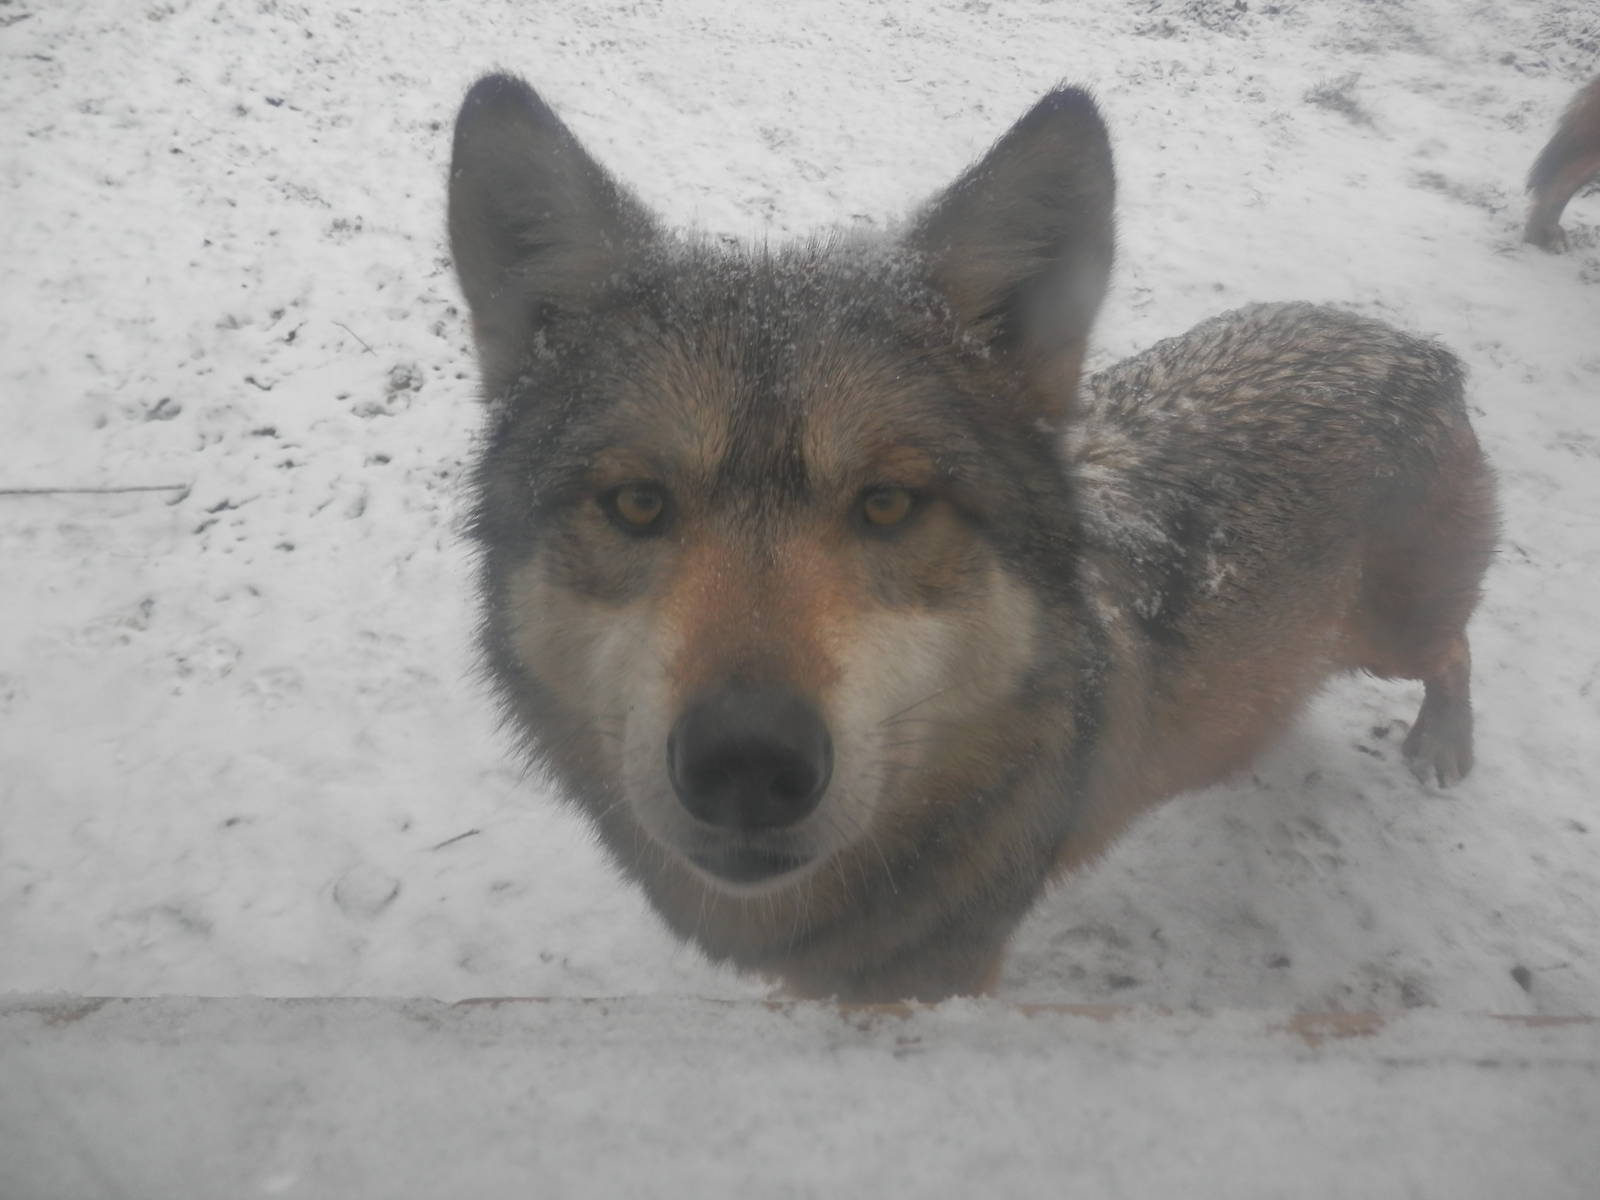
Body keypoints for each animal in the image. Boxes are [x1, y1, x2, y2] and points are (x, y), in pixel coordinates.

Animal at [448, 74, 1497, 1002]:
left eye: (887, 504)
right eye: (636, 504)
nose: (746, 762)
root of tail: (1414, 348)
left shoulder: (933, 987)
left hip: (1392, 638)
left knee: (1455, 647)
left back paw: (1443, 745)